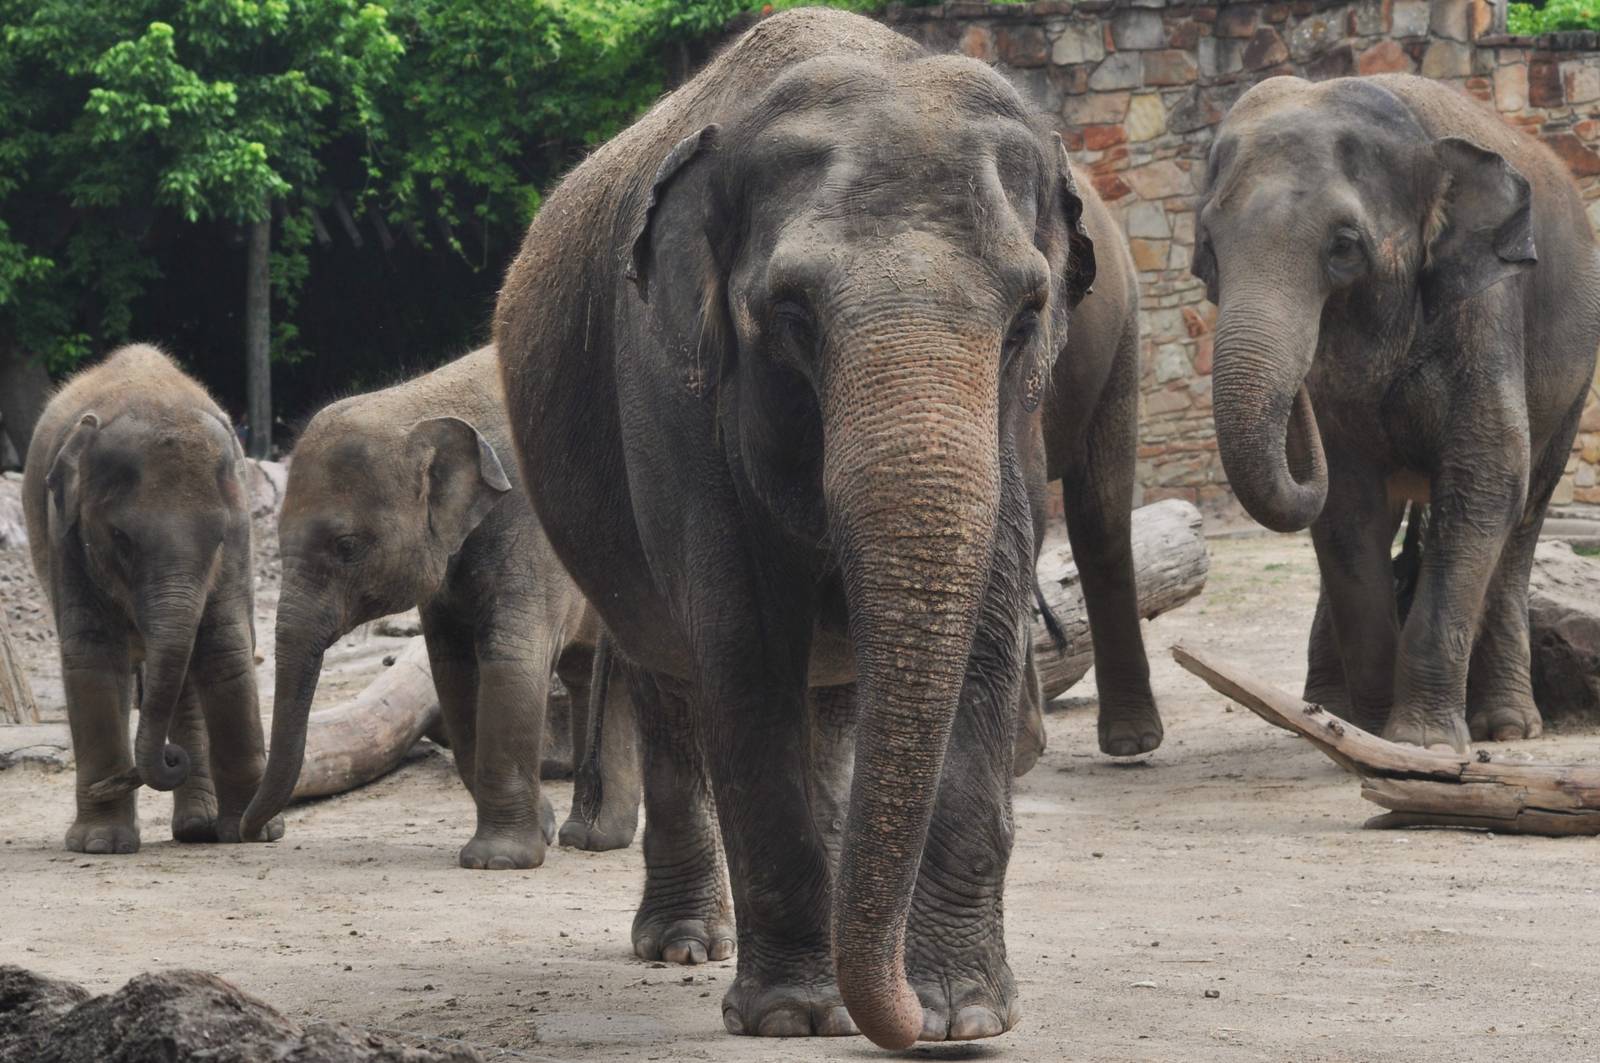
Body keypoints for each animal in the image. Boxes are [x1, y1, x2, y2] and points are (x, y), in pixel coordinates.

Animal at [22, 343, 282, 852]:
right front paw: (101, 843)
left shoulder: (240, 535)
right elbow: (93, 654)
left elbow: (224, 647)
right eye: (121, 540)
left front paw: (255, 834)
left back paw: (200, 828)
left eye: (218, 539)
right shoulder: (66, 535)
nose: (170, 758)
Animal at [239, 346, 642, 868]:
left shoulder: (533, 525)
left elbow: (510, 658)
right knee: (597, 676)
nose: (264, 831)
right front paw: (542, 829)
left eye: (346, 546)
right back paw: (591, 838)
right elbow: (452, 671)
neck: (421, 401)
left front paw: (498, 861)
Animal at [493, 8, 1125, 1048]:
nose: (901, 1020)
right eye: (789, 313)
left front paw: (963, 1014)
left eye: (1029, 313)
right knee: (670, 684)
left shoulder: (1015, 429)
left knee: (827, 701)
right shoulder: (674, 394)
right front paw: (795, 1015)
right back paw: (684, 943)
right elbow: (744, 648)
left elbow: (987, 628)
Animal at [1192, 73, 1600, 751]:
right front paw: (1370, 734)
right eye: (1209, 249)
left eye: (1344, 247)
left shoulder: (1487, 304)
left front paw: (1419, 744)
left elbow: (1487, 477)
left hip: (1573, 382)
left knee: (1525, 515)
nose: (1300, 394)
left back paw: (1507, 728)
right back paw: (1323, 712)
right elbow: (1347, 503)